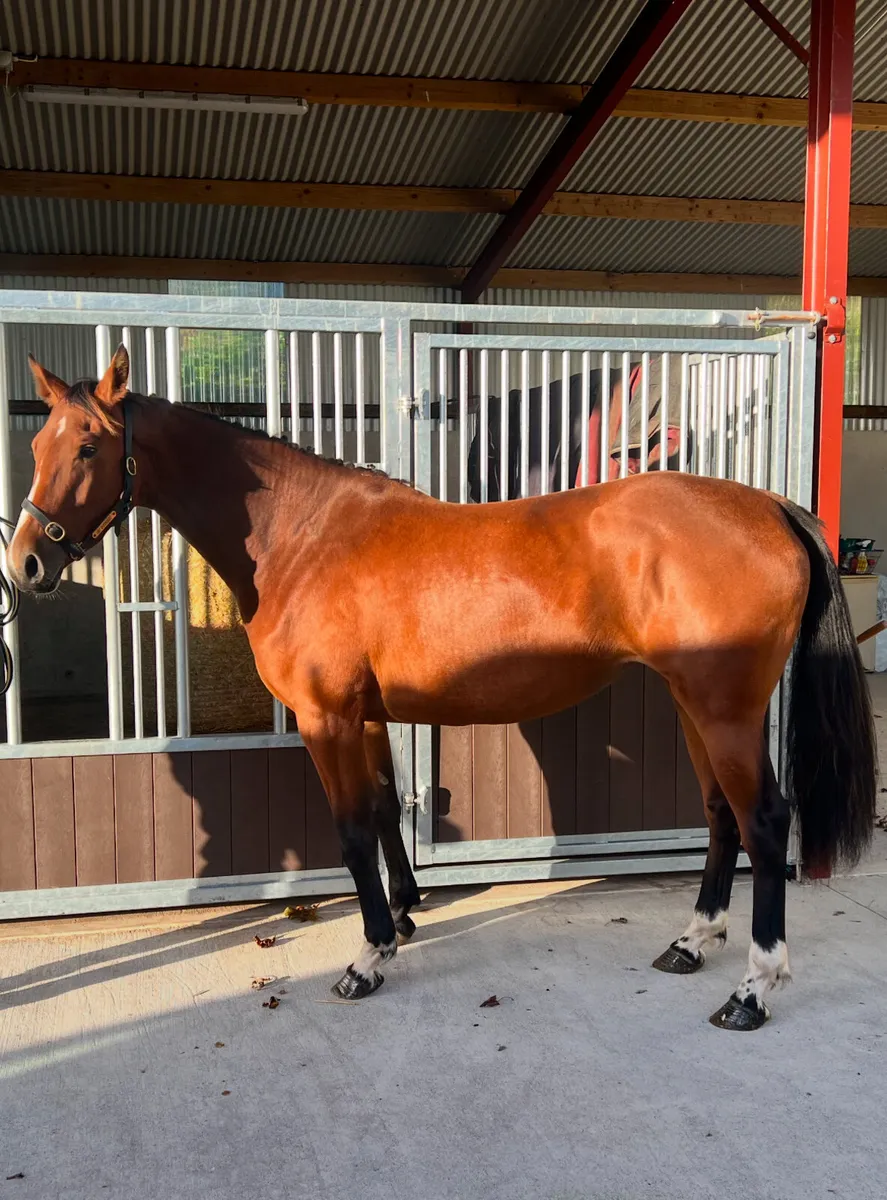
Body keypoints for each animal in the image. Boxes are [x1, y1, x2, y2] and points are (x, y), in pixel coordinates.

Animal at [9, 345, 876, 1031]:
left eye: (88, 447)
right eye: (39, 442)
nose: (26, 563)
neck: (301, 536)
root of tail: (770, 506)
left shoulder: (326, 718)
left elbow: (350, 831)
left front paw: (367, 960)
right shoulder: (361, 718)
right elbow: (385, 810)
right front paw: (402, 915)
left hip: (722, 710)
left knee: (762, 821)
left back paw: (752, 990)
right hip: (693, 705)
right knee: (719, 814)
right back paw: (690, 943)